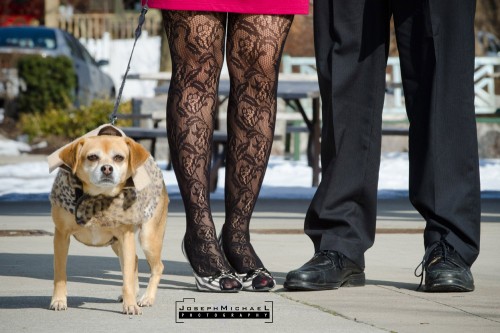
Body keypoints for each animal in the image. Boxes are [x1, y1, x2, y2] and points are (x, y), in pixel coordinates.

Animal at [49, 133, 169, 314]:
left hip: (147, 239)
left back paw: (147, 298)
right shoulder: (61, 236)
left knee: (157, 267)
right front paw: (58, 300)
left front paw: (130, 305)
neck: (98, 198)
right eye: (92, 157)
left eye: (119, 157)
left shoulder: (126, 237)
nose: (107, 168)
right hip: (117, 244)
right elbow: (60, 274)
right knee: (134, 260)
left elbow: (127, 277)